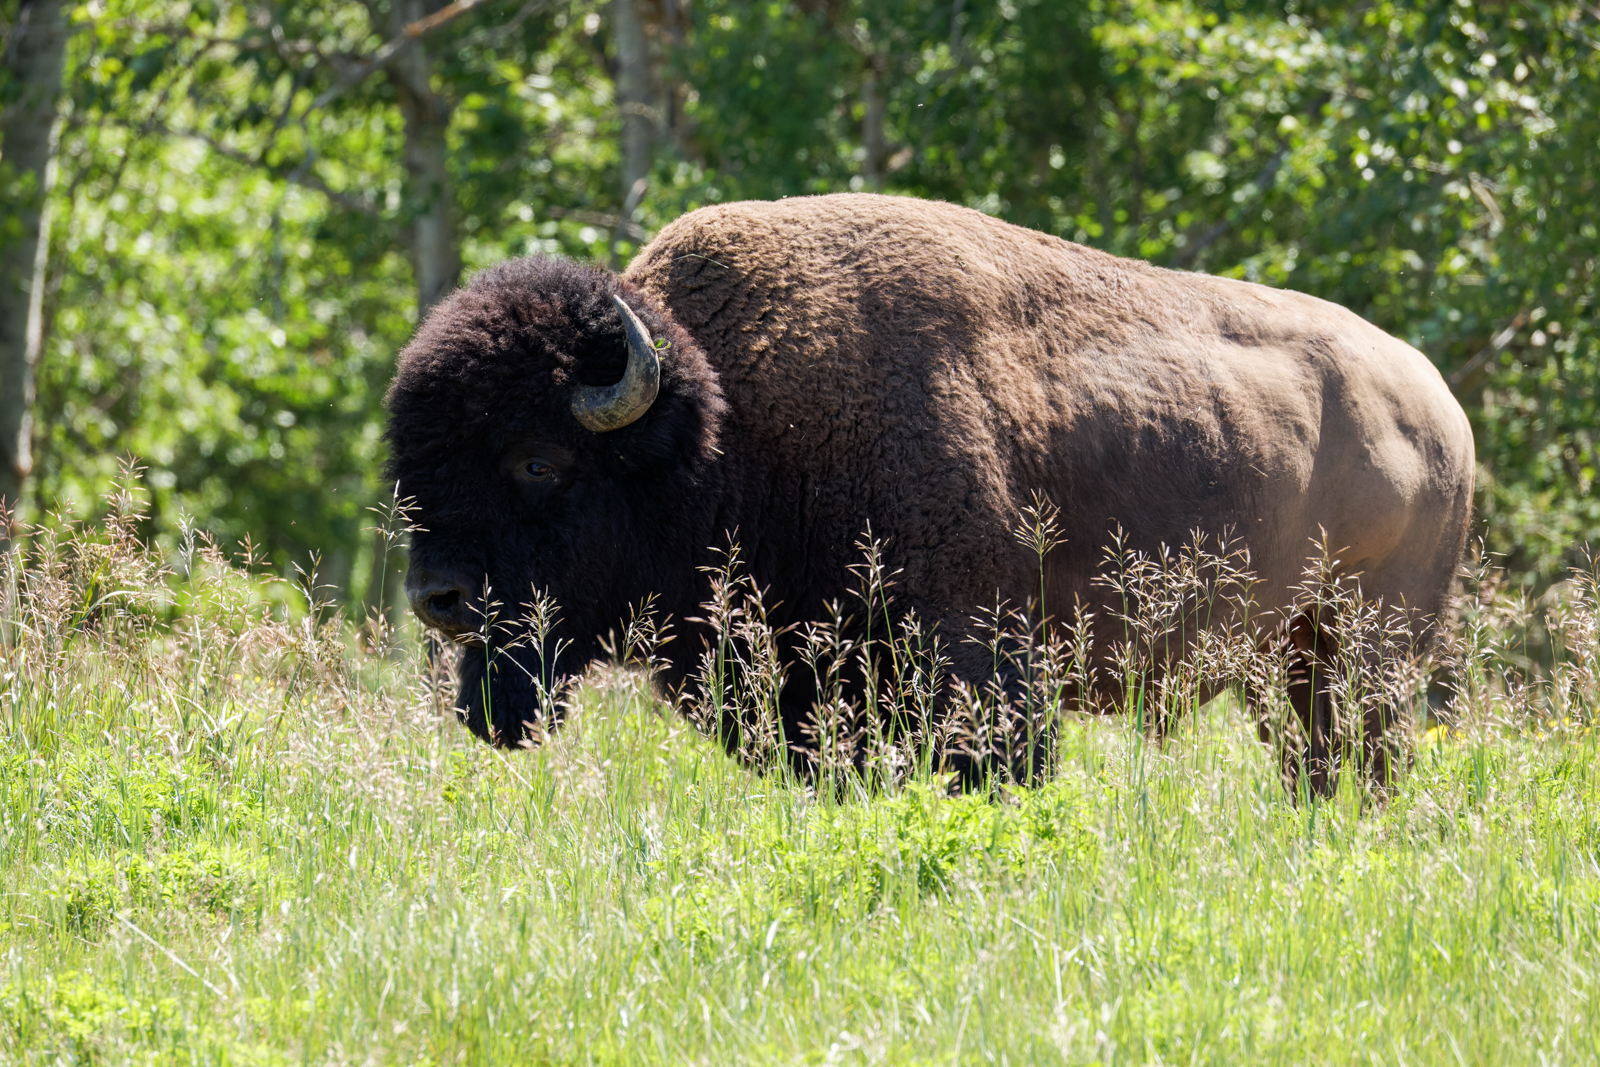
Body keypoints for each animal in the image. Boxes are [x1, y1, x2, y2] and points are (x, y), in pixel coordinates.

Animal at [386, 193, 1474, 792]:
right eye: (413, 464)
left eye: (537, 460)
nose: (438, 596)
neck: (728, 420)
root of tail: (1439, 408)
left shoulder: (978, 661)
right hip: (1290, 661)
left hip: (1366, 647)